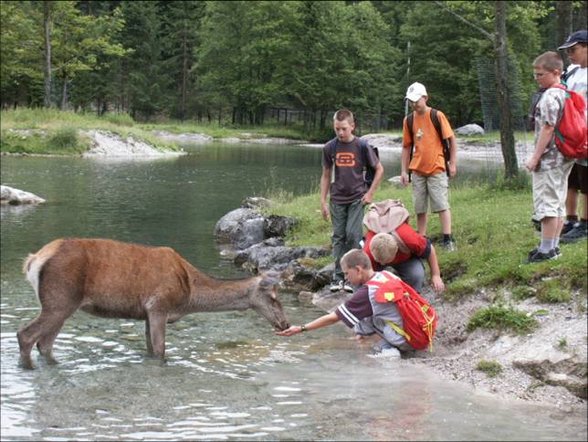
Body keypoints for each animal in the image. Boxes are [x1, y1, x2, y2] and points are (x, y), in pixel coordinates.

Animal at [14, 238, 288, 370]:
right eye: (274, 297)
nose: (285, 324)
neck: (189, 294)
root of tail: (33, 260)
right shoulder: (159, 306)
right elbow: (160, 350)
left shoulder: (146, 313)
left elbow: (148, 348)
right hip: (60, 300)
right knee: (26, 335)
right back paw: (28, 369)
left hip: (61, 306)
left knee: (44, 344)